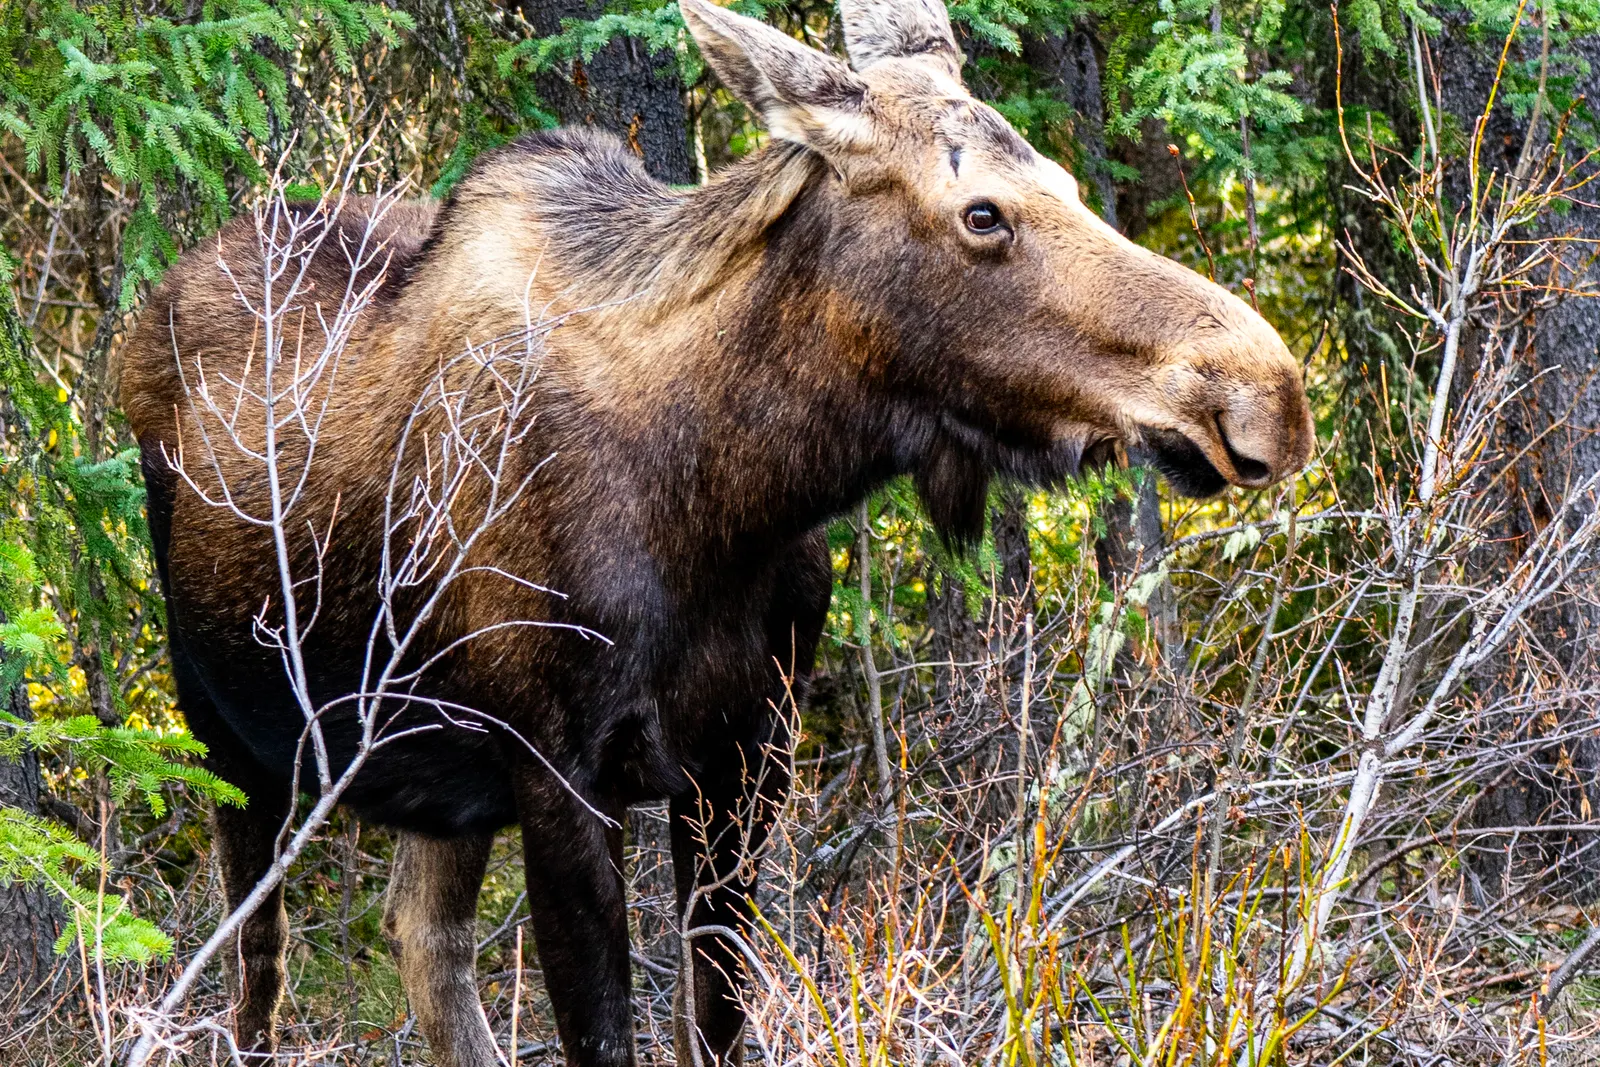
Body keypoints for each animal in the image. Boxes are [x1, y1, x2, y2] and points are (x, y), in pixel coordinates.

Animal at [117, 0, 1314, 1064]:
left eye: (1066, 183)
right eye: (982, 212)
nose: (1266, 393)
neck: (725, 501)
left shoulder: (745, 762)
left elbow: (719, 1023)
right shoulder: (559, 778)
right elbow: (607, 1033)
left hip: (433, 782)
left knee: (425, 948)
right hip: (233, 734)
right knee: (255, 979)